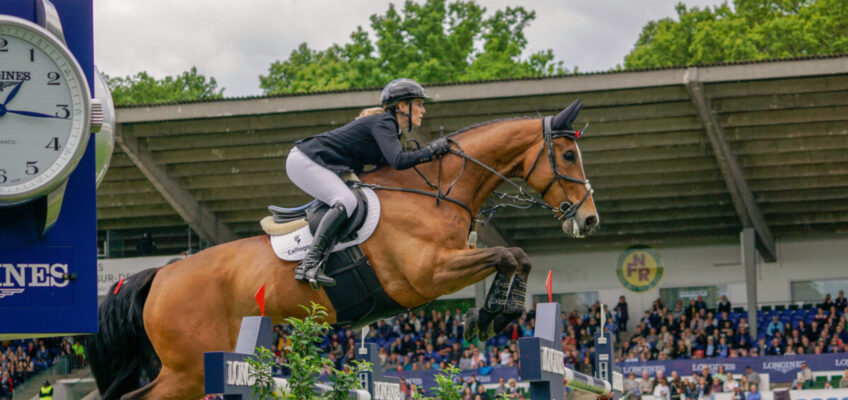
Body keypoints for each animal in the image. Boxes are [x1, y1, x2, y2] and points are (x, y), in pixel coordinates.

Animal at [89, 100, 600, 400]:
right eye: (568, 156)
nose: (589, 219)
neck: (437, 192)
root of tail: (159, 274)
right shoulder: (429, 275)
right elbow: (506, 255)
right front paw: (489, 315)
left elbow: (518, 257)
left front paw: (495, 314)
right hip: (188, 367)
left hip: (193, 368)